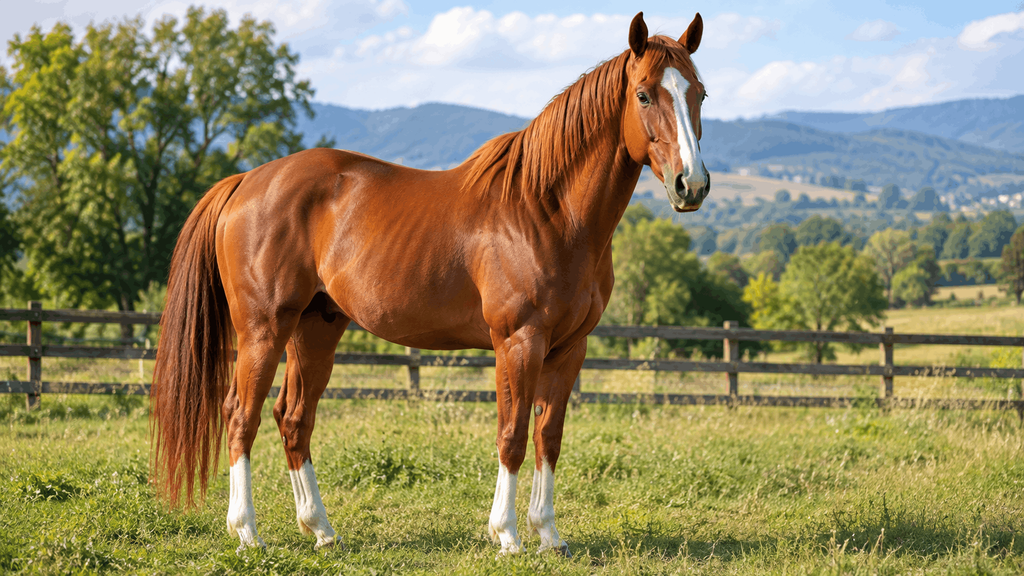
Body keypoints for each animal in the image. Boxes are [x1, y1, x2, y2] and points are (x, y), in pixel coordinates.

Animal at [151, 11, 710, 556]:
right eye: (644, 94)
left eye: (699, 93)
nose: (692, 185)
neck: (548, 211)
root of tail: (245, 182)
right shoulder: (519, 342)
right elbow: (512, 434)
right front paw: (507, 535)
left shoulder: (570, 348)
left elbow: (548, 436)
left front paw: (548, 534)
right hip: (263, 329)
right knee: (239, 416)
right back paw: (247, 532)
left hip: (315, 329)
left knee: (293, 418)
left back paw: (321, 530)